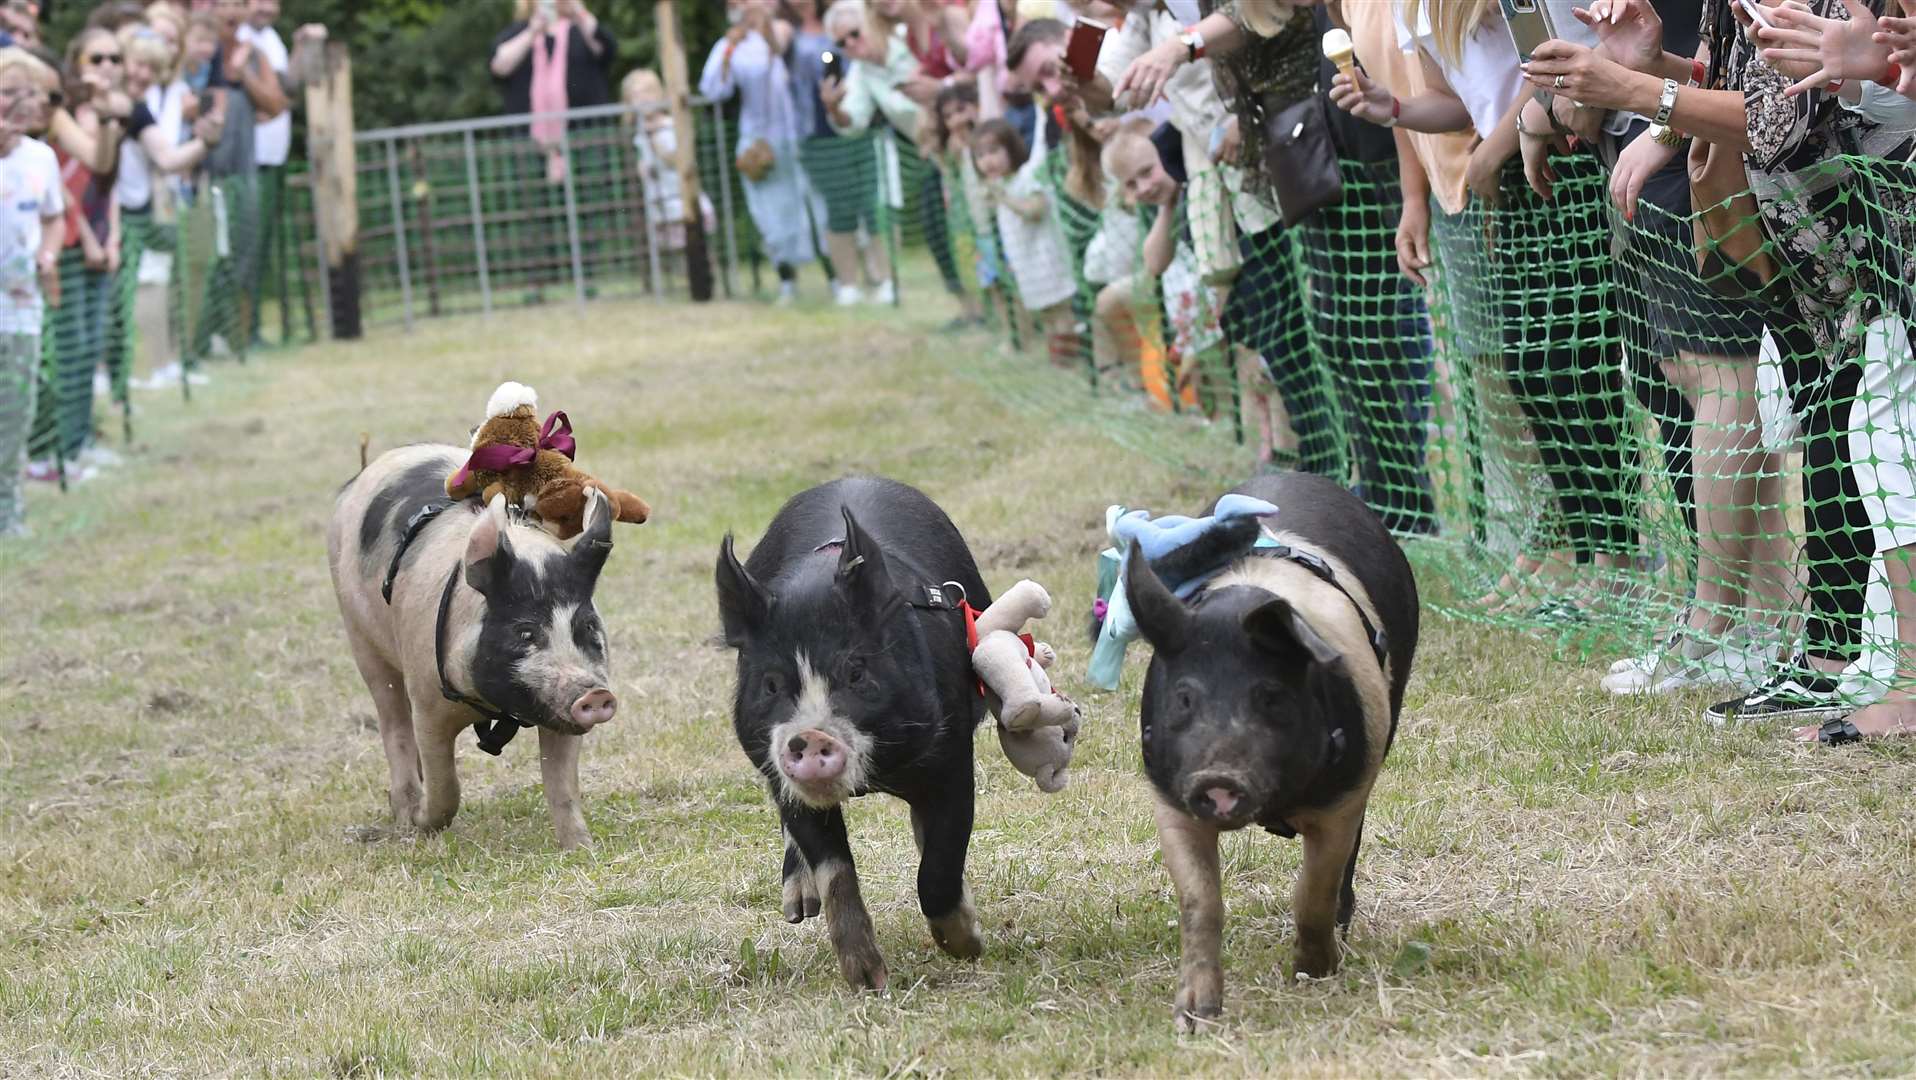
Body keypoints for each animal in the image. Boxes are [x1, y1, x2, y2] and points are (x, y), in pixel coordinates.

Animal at [329, 442, 620, 846]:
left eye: (587, 626)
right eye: (525, 632)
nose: (594, 695)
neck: (495, 705)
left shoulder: (557, 709)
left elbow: (562, 785)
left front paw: (582, 847)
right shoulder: (427, 699)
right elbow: (446, 784)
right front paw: (424, 823)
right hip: (360, 637)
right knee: (393, 723)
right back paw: (405, 816)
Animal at [716, 476, 996, 988]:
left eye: (856, 672)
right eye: (771, 684)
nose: (809, 737)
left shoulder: (951, 754)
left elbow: (939, 864)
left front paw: (969, 948)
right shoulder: (777, 769)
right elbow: (834, 867)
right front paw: (867, 980)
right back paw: (797, 907)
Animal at [1118, 472, 1425, 1026]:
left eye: (1271, 696)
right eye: (1184, 698)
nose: (1219, 778)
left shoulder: (1342, 797)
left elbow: (1313, 891)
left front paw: (1311, 973)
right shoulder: (1171, 798)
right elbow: (1199, 901)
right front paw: (1194, 1017)